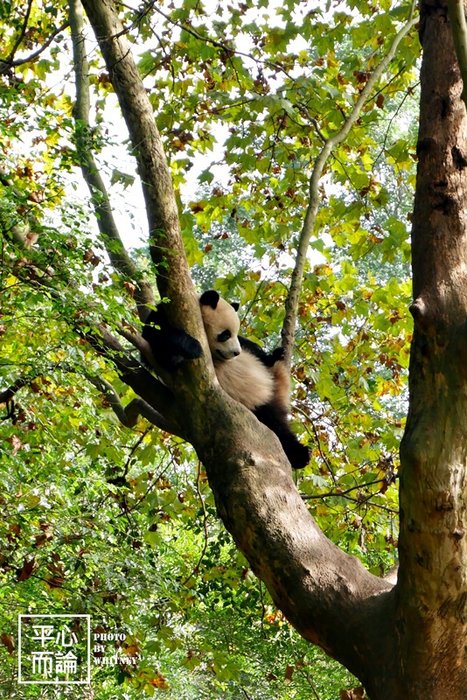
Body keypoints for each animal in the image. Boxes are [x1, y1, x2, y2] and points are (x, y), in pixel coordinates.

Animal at [143, 288, 310, 474]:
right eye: (225, 334)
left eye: (236, 333)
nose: (236, 353)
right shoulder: (161, 319)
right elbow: (157, 340)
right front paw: (189, 348)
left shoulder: (245, 345)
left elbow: (251, 346)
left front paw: (273, 355)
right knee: (276, 426)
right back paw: (299, 455)